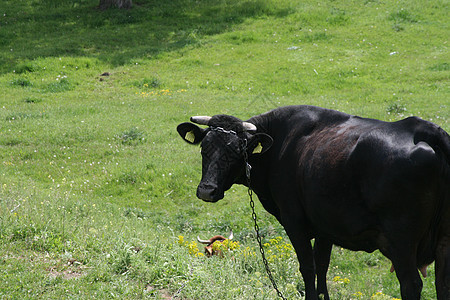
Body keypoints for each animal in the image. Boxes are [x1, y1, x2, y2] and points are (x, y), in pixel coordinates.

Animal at [178, 105, 450, 300]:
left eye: (237, 151)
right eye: (204, 148)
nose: (207, 190)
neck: (279, 146)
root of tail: (422, 128)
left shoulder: (294, 221)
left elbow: (307, 267)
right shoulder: (325, 226)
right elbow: (322, 266)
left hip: (401, 240)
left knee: (411, 285)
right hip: (443, 240)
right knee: (442, 283)